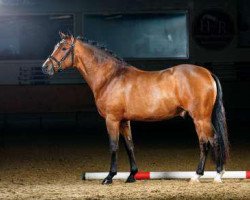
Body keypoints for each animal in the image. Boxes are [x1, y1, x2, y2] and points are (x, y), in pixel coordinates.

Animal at [41, 32, 229, 184]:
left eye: (64, 48)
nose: (45, 67)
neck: (110, 77)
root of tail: (207, 73)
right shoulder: (124, 121)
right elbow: (129, 146)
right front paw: (132, 175)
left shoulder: (112, 120)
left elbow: (114, 146)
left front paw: (109, 177)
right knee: (206, 142)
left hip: (200, 118)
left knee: (211, 141)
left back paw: (210, 175)